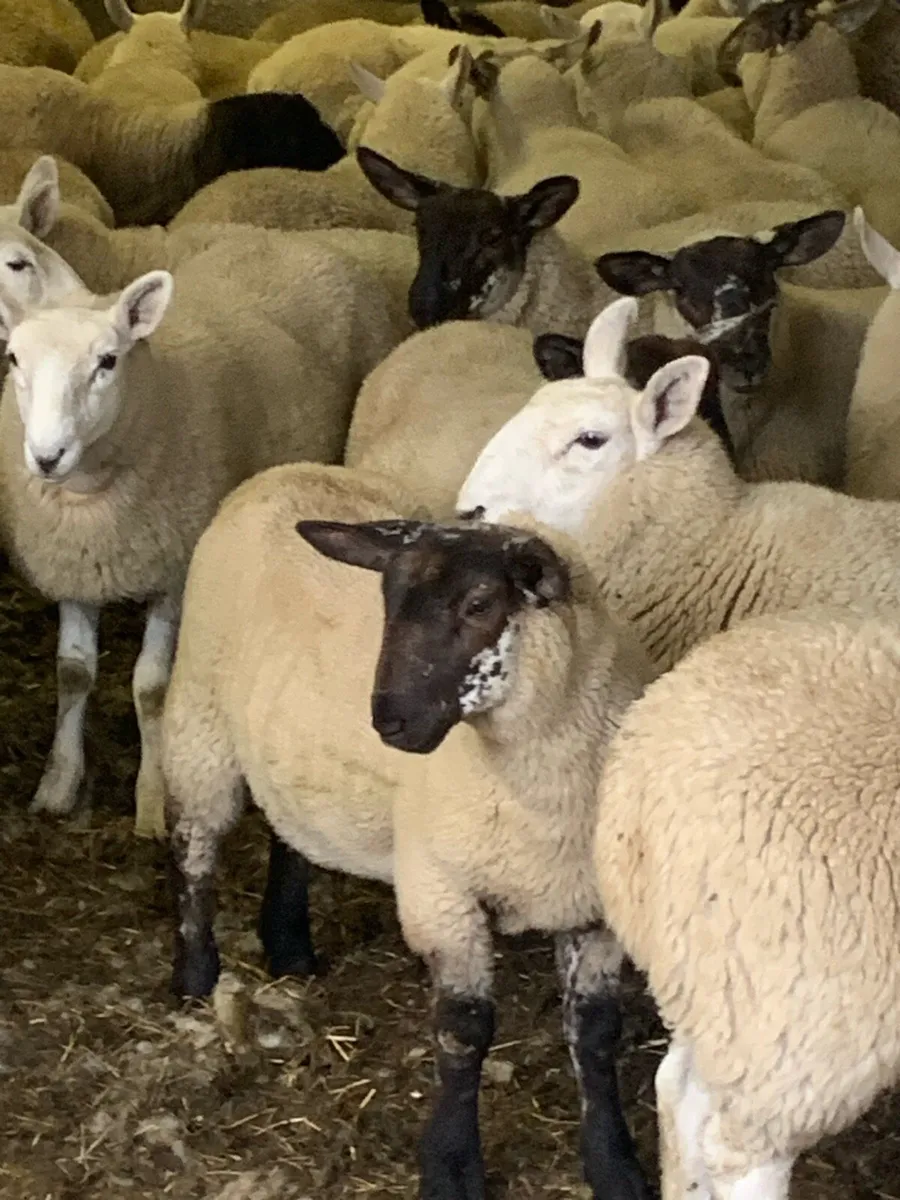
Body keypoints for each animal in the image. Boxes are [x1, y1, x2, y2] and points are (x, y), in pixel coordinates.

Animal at [0, 234, 406, 839]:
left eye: (107, 361)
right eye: (14, 359)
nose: (47, 457)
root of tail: (290, 239)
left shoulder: (175, 570)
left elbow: (151, 688)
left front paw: (151, 801)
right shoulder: (74, 566)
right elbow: (72, 674)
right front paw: (58, 785)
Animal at [164, 458, 660, 1199]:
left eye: (479, 605)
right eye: (389, 599)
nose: (389, 720)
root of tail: (285, 469)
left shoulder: (592, 905)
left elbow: (596, 1037)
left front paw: (614, 1164)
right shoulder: (441, 888)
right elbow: (464, 1032)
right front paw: (451, 1165)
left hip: (287, 749)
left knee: (291, 830)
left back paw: (288, 943)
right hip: (200, 720)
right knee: (196, 847)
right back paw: (196, 972)